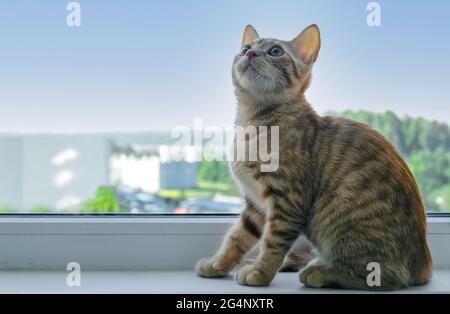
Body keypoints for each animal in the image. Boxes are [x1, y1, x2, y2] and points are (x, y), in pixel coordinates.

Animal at [196, 25, 432, 292]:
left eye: (275, 51)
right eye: (246, 47)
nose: (250, 53)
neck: (252, 121)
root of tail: (423, 266)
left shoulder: (288, 201)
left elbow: (272, 242)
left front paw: (261, 271)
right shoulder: (255, 205)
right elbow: (237, 237)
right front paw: (217, 264)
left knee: (385, 275)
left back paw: (320, 272)